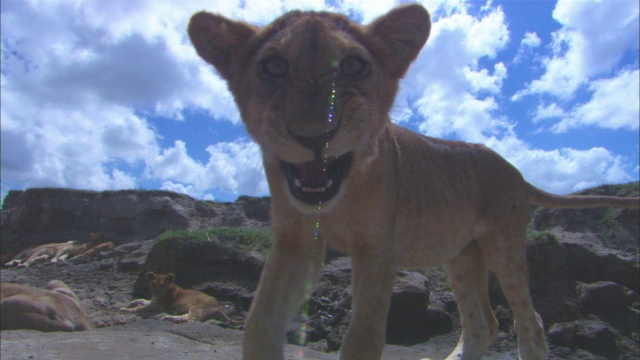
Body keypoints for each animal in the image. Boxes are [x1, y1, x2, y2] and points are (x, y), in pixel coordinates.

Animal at [186, 3, 640, 360]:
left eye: (354, 66)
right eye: (274, 66)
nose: (316, 136)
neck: (341, 195)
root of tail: (515, 170)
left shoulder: (379, 249)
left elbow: (364, 337)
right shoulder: (295, 240)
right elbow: (260, 321)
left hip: (504, 247)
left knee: (530, 320)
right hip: (462, 256)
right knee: (484, 323)